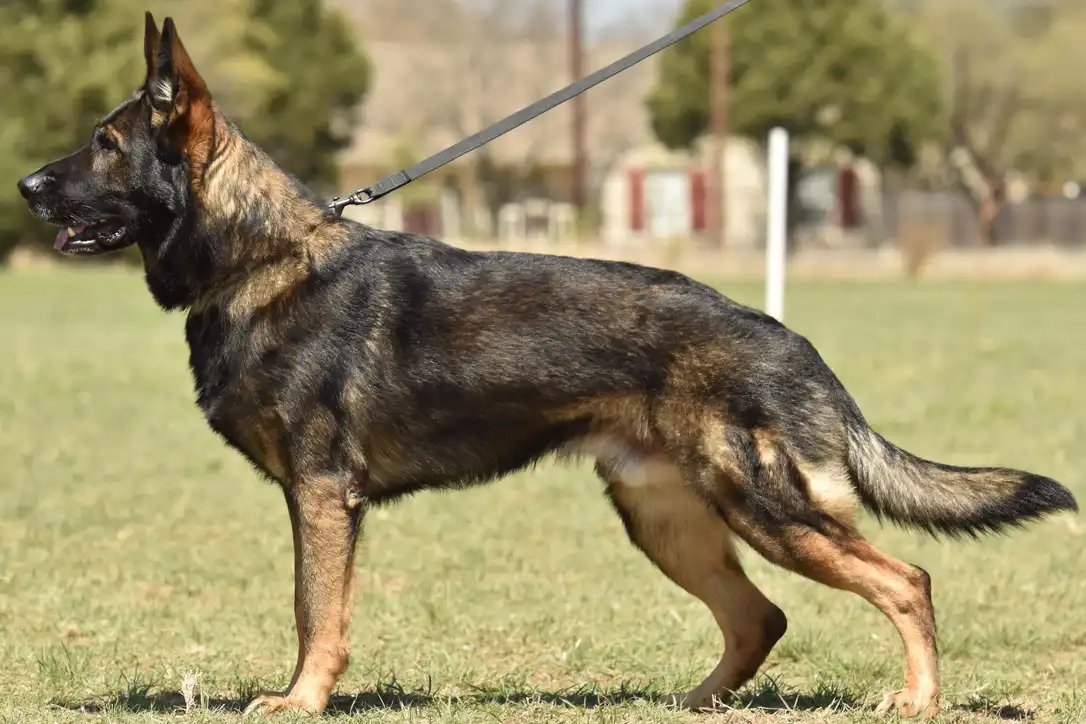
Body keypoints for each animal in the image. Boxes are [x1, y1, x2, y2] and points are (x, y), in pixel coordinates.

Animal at [16, 11, 1077, 720]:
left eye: (106, 144)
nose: (24, 184)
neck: (261, 257)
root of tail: (795, 344)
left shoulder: (320, 495)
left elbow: (315, 612)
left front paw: (298, 701)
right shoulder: (318, 498)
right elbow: (314, 609)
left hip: (765, 510)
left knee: (905, 581)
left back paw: (918, 698)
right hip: (668, 521)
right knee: (761, 618)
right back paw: (686, 701)